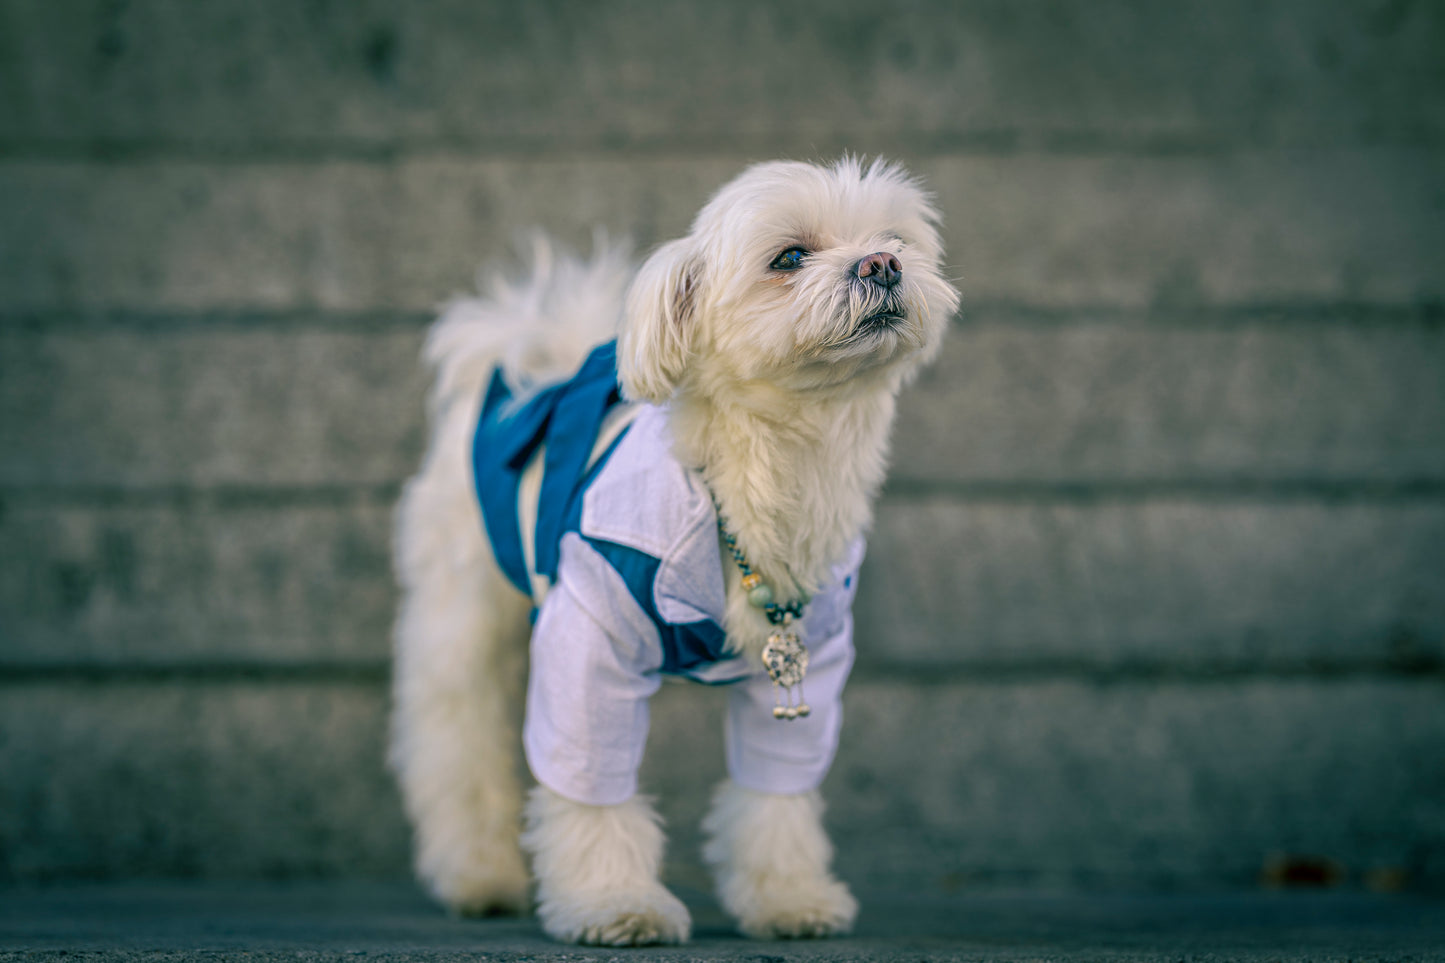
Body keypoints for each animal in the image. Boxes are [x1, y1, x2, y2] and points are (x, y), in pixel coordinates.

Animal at [395, 159, 959, 942]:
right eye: (789, 257)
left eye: (896, 239)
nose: (882, 264)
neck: (761, 478)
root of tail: (540, 373)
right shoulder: (589, 639)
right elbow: (590, 780)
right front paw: (615, 902)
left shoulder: (805, 665)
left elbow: (774, 792)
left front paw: (787, 897)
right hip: (464, 615)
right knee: (456, 740)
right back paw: (479, 874)